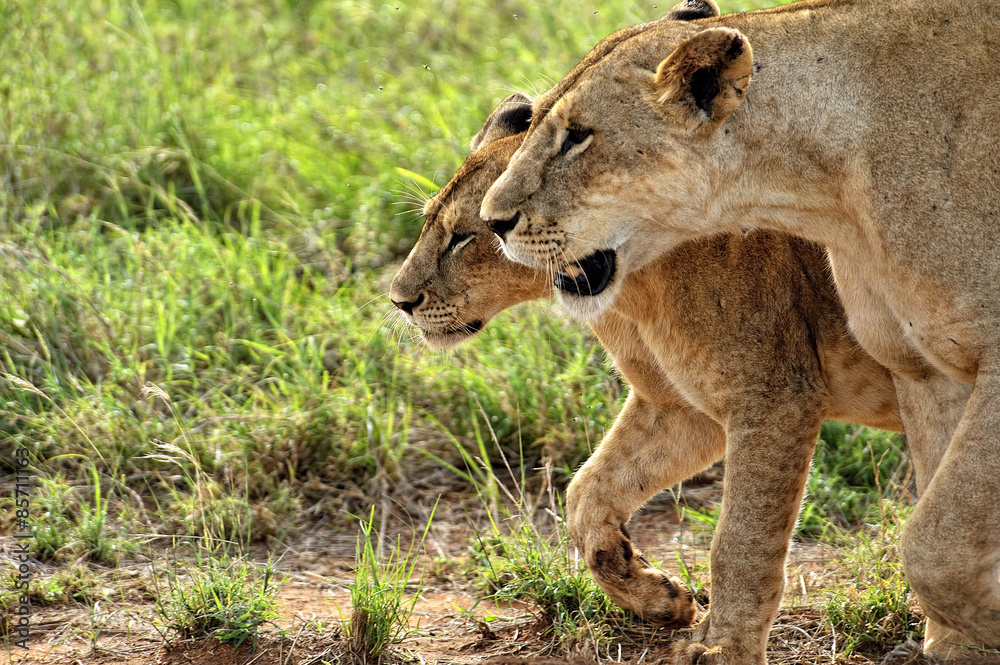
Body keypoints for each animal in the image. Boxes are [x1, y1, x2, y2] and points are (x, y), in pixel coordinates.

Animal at [391, 29, 908, 660]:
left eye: (466, 237)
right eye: (428, 223)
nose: (398, 299)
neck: (631, 288)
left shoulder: (775, 399)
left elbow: (741, 542)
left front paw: (721, 649)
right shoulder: (682, 408)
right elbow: (587, 492)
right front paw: (656, 596)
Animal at [478, 0, 997, 661]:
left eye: (577, 136)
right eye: (533, 121)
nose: (493, 220)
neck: (830, 190)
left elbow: (932, 546)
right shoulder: (924, 369)